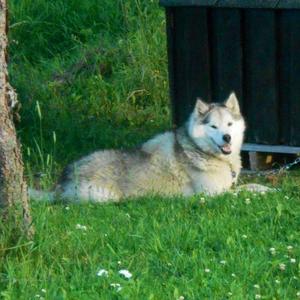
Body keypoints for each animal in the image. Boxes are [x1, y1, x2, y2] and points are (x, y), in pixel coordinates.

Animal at [29, 92, 274, 203]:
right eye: (213, 126)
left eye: (230, 124)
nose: (227, 138)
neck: (200, 151)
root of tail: (61, 182)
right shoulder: (212, 194)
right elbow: (243, 191)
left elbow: (250, 185)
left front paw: (269, 189)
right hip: (103, 196)